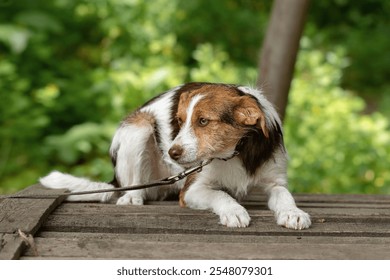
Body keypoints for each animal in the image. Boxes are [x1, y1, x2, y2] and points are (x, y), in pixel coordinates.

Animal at [41, 81, 310, 230]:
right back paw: (132, 197)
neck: (236, 151)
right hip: (139, 128)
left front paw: (293, 213)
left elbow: (285, 196)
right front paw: (234, 211)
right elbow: (220, 194)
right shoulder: (191, 190)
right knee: (132, 186)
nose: (172, 153)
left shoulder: (274, 181)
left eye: (203, 121)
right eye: (179, 121)